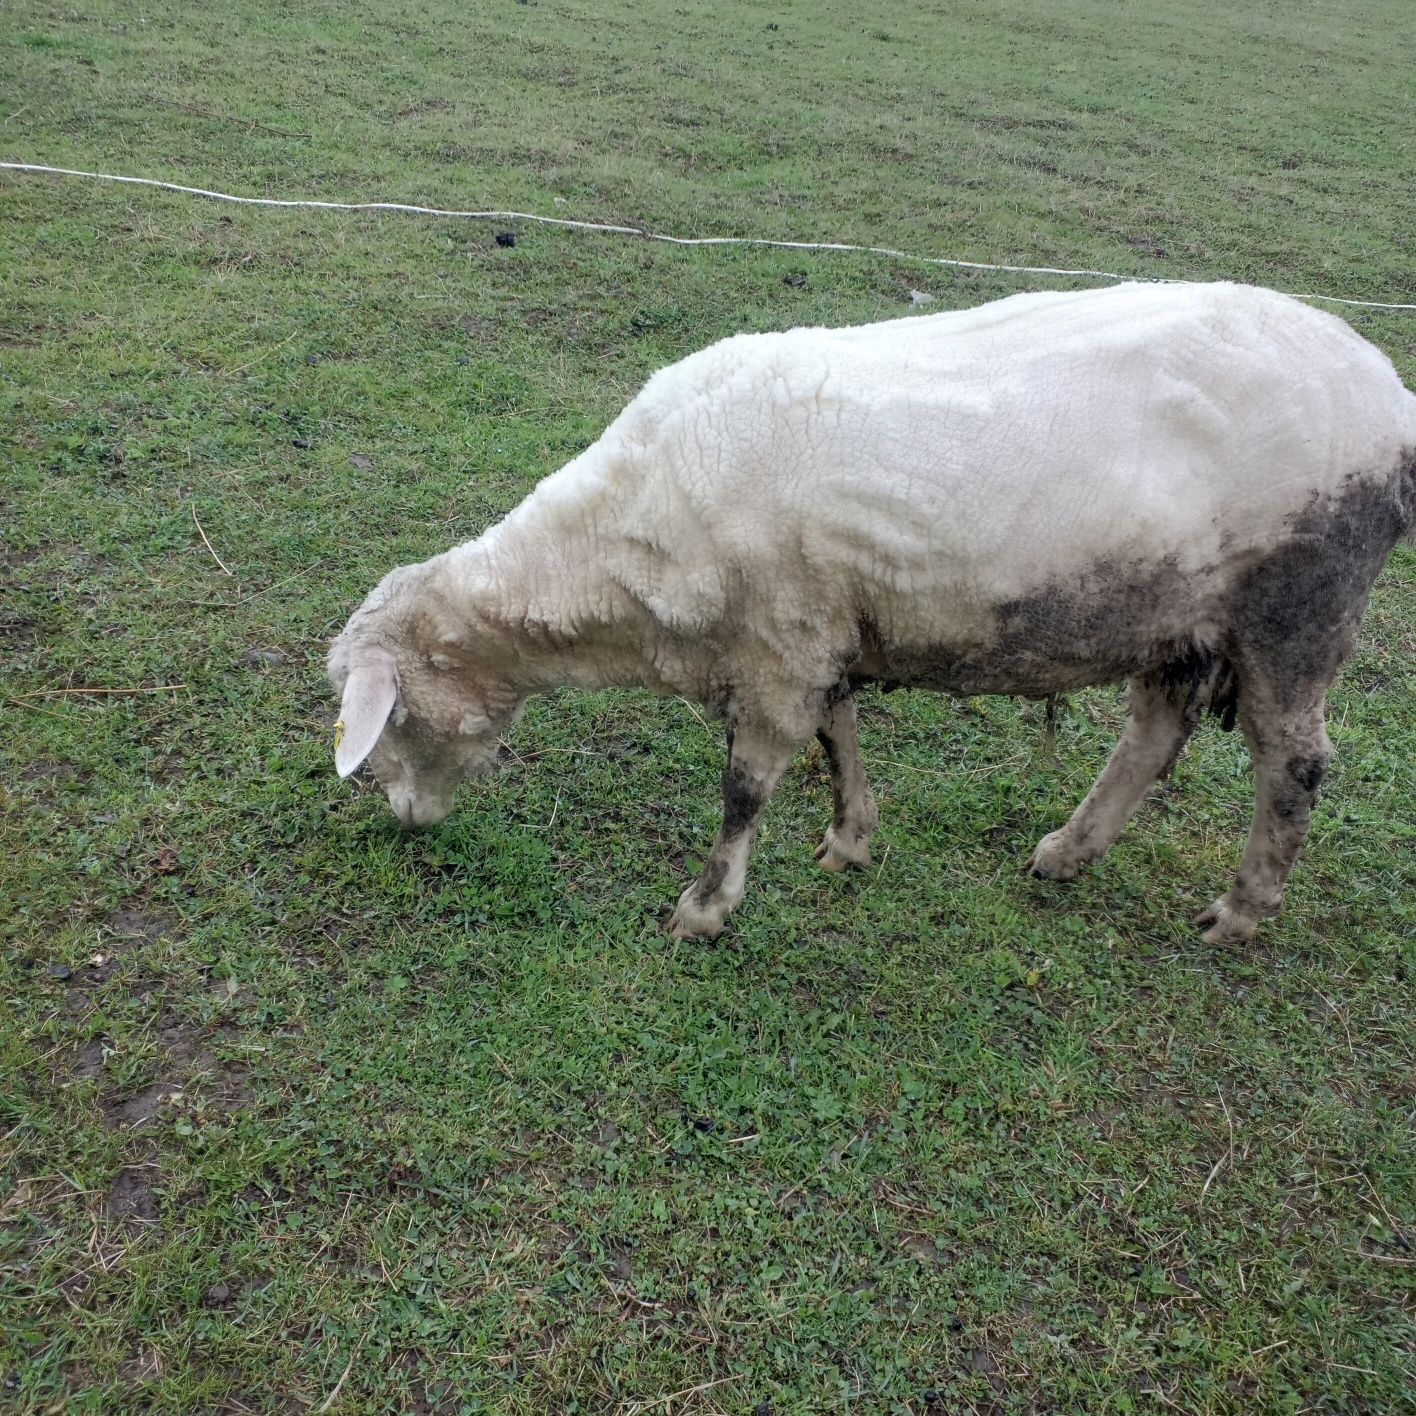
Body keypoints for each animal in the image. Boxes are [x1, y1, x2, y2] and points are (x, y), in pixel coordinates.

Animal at [328, 278, 1416, 940]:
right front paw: (850, 840)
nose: (404, 820)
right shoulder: (816, 633)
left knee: (1296, 763)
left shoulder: (779, 647)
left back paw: (1240, 910)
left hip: (1299, 603)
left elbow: (746, 789)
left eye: (396, 723)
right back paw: (1066, 853)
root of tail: (1389, 394)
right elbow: (837, 737)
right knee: (1152, 737)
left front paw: (705, 906)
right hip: (1175, 610)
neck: (618, 550)